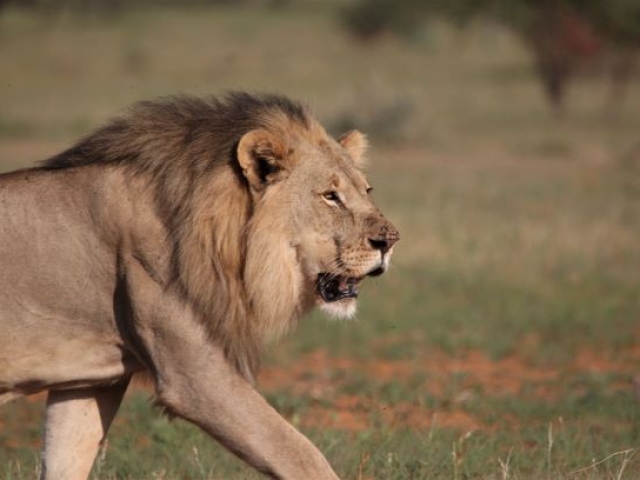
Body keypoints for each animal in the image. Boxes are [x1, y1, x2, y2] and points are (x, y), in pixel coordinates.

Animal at [0, 92, 398, 478]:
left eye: (367, 190)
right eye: (330, 196)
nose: (390, 241)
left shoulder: (89, 382)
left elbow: (66, 460)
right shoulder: (193, 374)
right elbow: (300, 454)